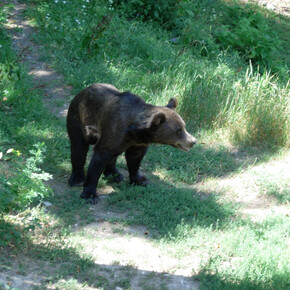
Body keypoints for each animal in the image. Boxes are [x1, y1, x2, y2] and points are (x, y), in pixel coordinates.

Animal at [67, 82, 197, 203]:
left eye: (184, 126)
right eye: (178, 130)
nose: (193, 141)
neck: (135, 131)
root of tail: (83, 91)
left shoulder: (137, 143)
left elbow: (135, 158)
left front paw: (141, 180)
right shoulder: (114, 131)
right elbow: (99, 159)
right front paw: (90, 194)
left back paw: (114, 174)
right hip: (78, 119)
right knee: (78, 148)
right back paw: (77, 179)